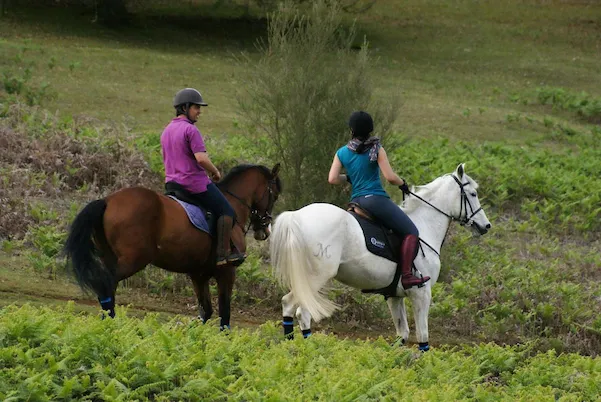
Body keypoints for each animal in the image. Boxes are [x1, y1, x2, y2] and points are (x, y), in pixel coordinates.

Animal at [65, 163, 282, 330]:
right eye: (275, 195)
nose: (265, 230)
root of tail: (108, 201)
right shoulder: (226, 272)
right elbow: (224, 314)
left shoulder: (199, 275)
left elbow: (206, 311)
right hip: (133, 260)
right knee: (106, 285)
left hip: (112, 257)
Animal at [270, 163, 490, 348]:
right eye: (472, 193)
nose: (486, 226)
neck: (425, 225)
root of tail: (296, 215)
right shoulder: (422, 293)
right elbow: (423, 337)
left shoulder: (394, 295)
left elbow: (402, 334)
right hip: (315, 278)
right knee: (298, 310)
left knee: (291, 308)